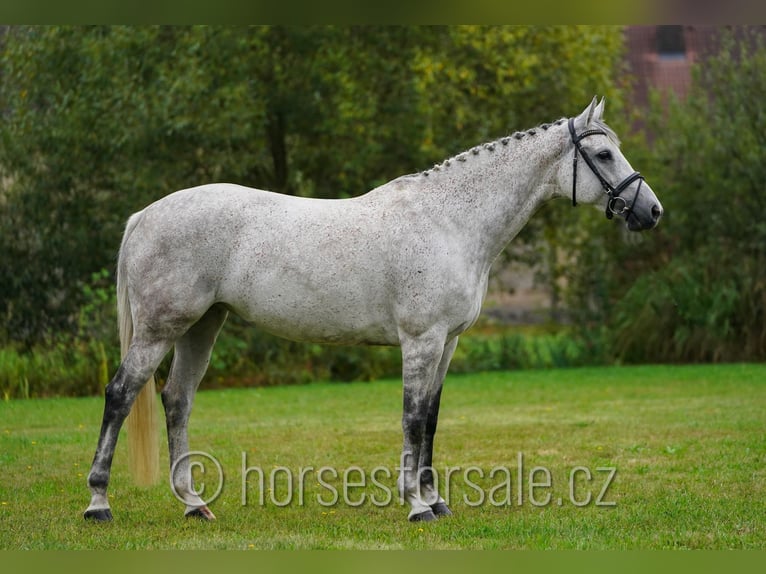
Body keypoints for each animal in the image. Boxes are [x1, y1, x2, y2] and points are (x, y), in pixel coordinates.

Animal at [84, 97, 663, 523]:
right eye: (604, 156)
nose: (651, 211)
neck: (449, 220)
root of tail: (144, 215)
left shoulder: (447, 343)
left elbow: (431, 419)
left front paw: (436, 501)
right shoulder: (421, 340)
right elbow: (411, 417)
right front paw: (416, 507)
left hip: (201, 326)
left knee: (177, 400)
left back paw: (195, 505)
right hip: (161, 329)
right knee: (120, 395)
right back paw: (99, 504)